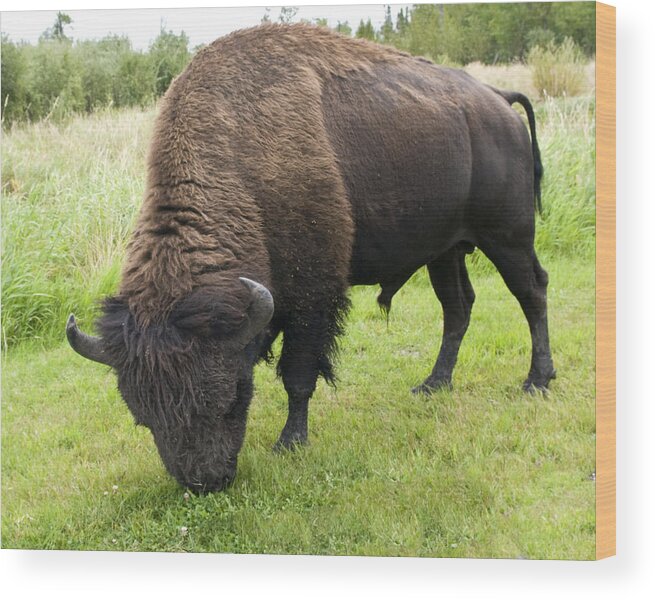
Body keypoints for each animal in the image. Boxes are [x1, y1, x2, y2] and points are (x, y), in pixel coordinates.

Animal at [68, 23, 552, 492]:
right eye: (143, 417)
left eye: (230, 396)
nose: (204, 482)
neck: (243, 165)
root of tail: (497, 99)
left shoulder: (311, 297)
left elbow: (298, 374)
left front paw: (289, 442)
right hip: (446, 250)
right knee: (458, 307)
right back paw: (433, 385)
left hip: (507, 237)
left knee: (532, 293)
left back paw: (537, 382)